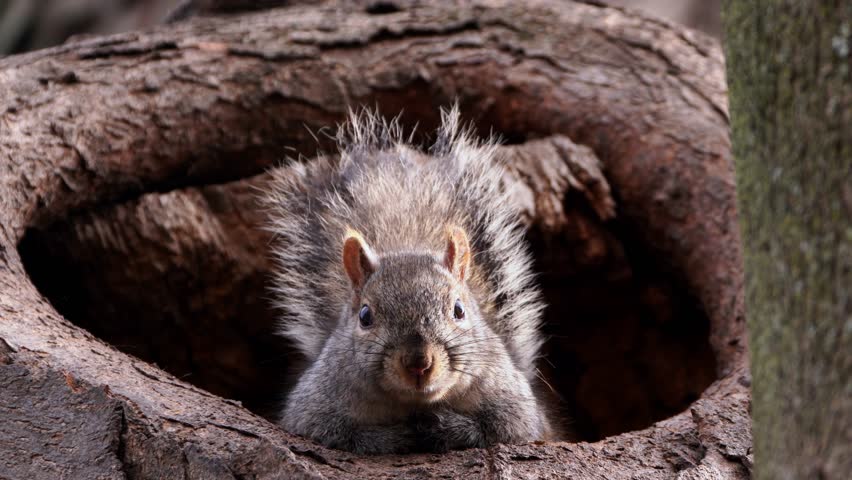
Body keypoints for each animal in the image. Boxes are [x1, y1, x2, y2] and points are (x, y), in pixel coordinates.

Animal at [265, 105, 556, 454]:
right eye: (365, 316)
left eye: (459, 310)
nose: (419, 362)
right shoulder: (313, 408)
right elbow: (338, 435)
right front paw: (393, 436)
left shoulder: (517, 408)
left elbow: (505, 429)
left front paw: (445, 427)